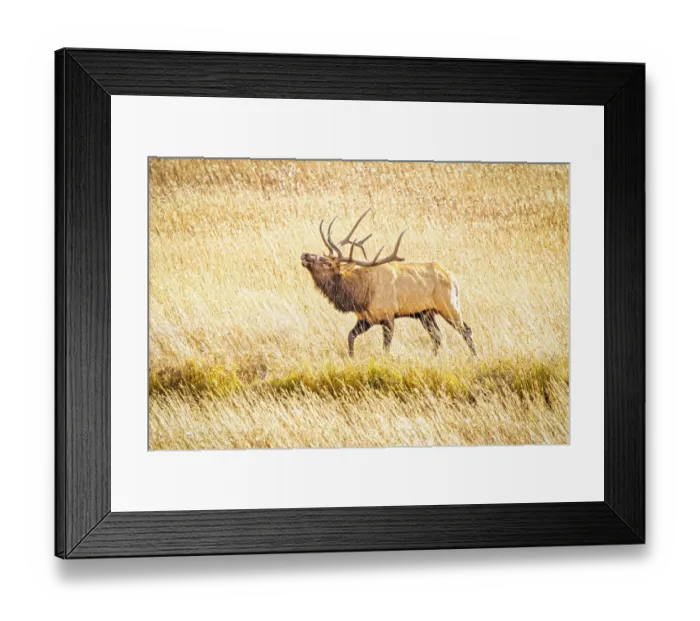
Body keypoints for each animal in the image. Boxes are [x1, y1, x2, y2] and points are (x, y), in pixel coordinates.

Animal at [300, 209, 477, 357]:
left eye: (327, 263)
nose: (305, 254)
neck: (360, 296)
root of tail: (453, 278)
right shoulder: (366, 319)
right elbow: (350, 336)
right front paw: (351, 357)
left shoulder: (388, 316)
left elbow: (385, 348)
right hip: (426, 313)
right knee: (437, 336)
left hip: (449, 305)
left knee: (466, 330)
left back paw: (474, 356)